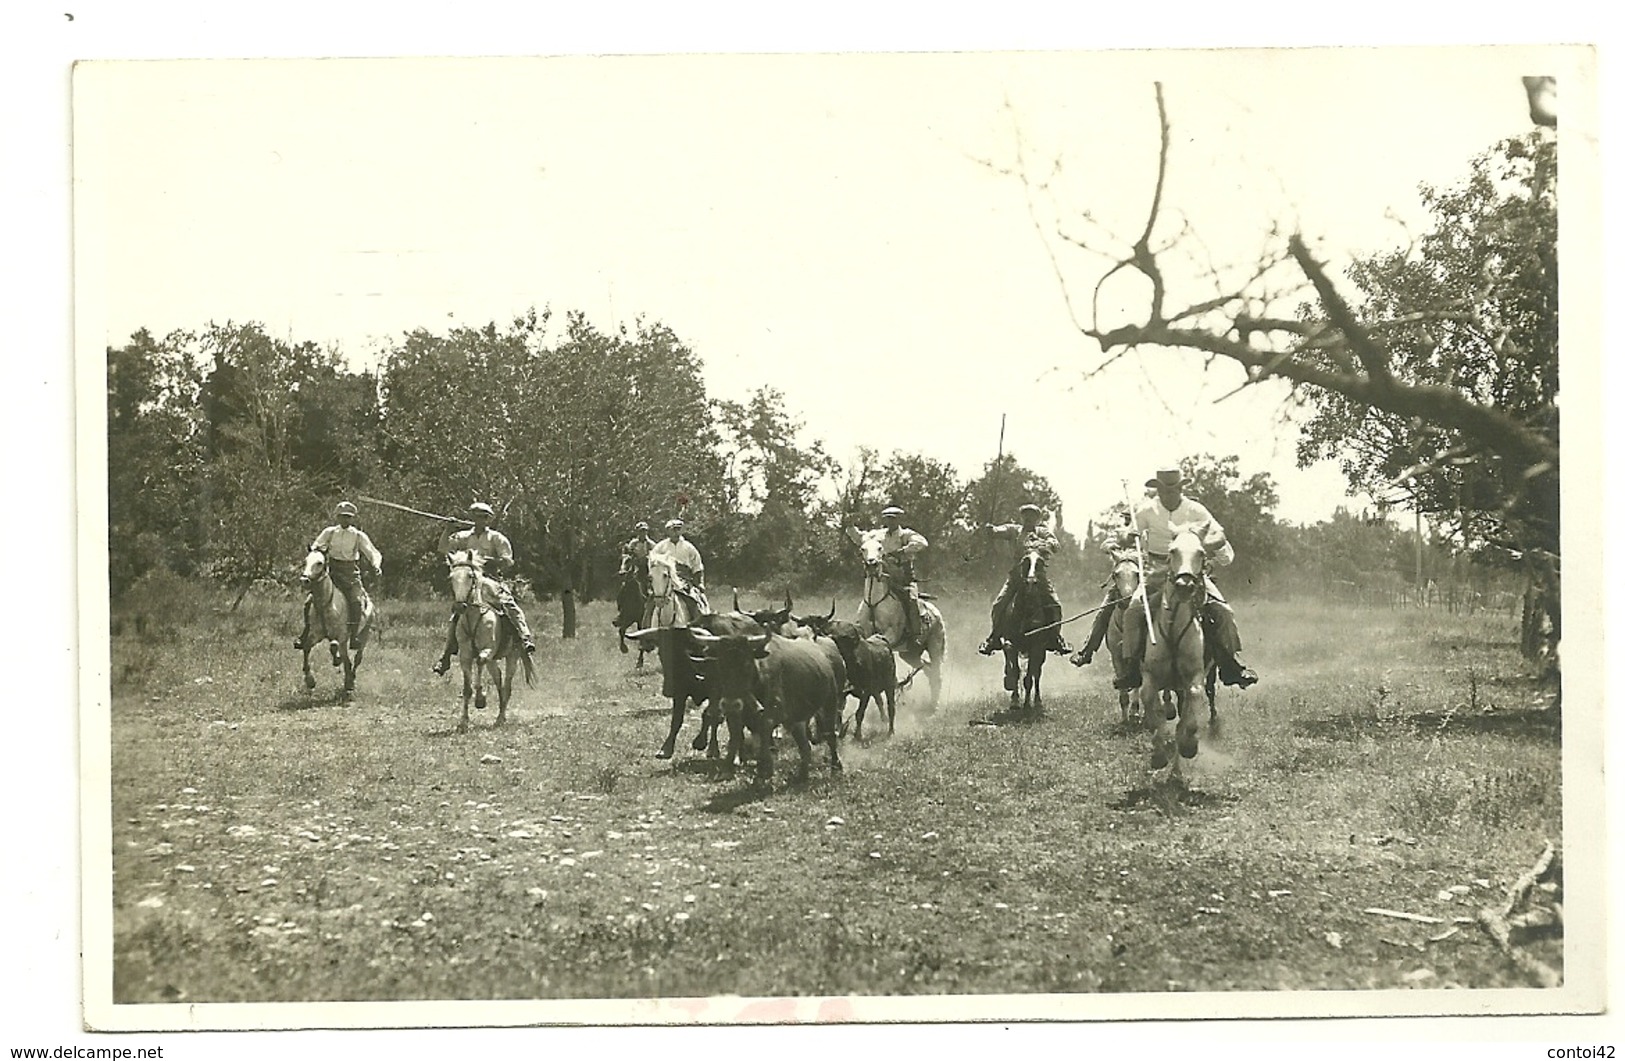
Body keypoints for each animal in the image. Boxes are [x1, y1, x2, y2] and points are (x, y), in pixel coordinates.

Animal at [988, 545, 1053, 711]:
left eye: (1040, 562)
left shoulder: (1037, 646)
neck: (1027, 610)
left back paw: (1037, 701)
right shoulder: (1010, 642)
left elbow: (1030, 676)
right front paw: (1015, 700)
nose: (1030, 582)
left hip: (1041, 652)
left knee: (1037, 673)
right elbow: (1015, 671)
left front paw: (1028, 703)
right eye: (1025, 561)